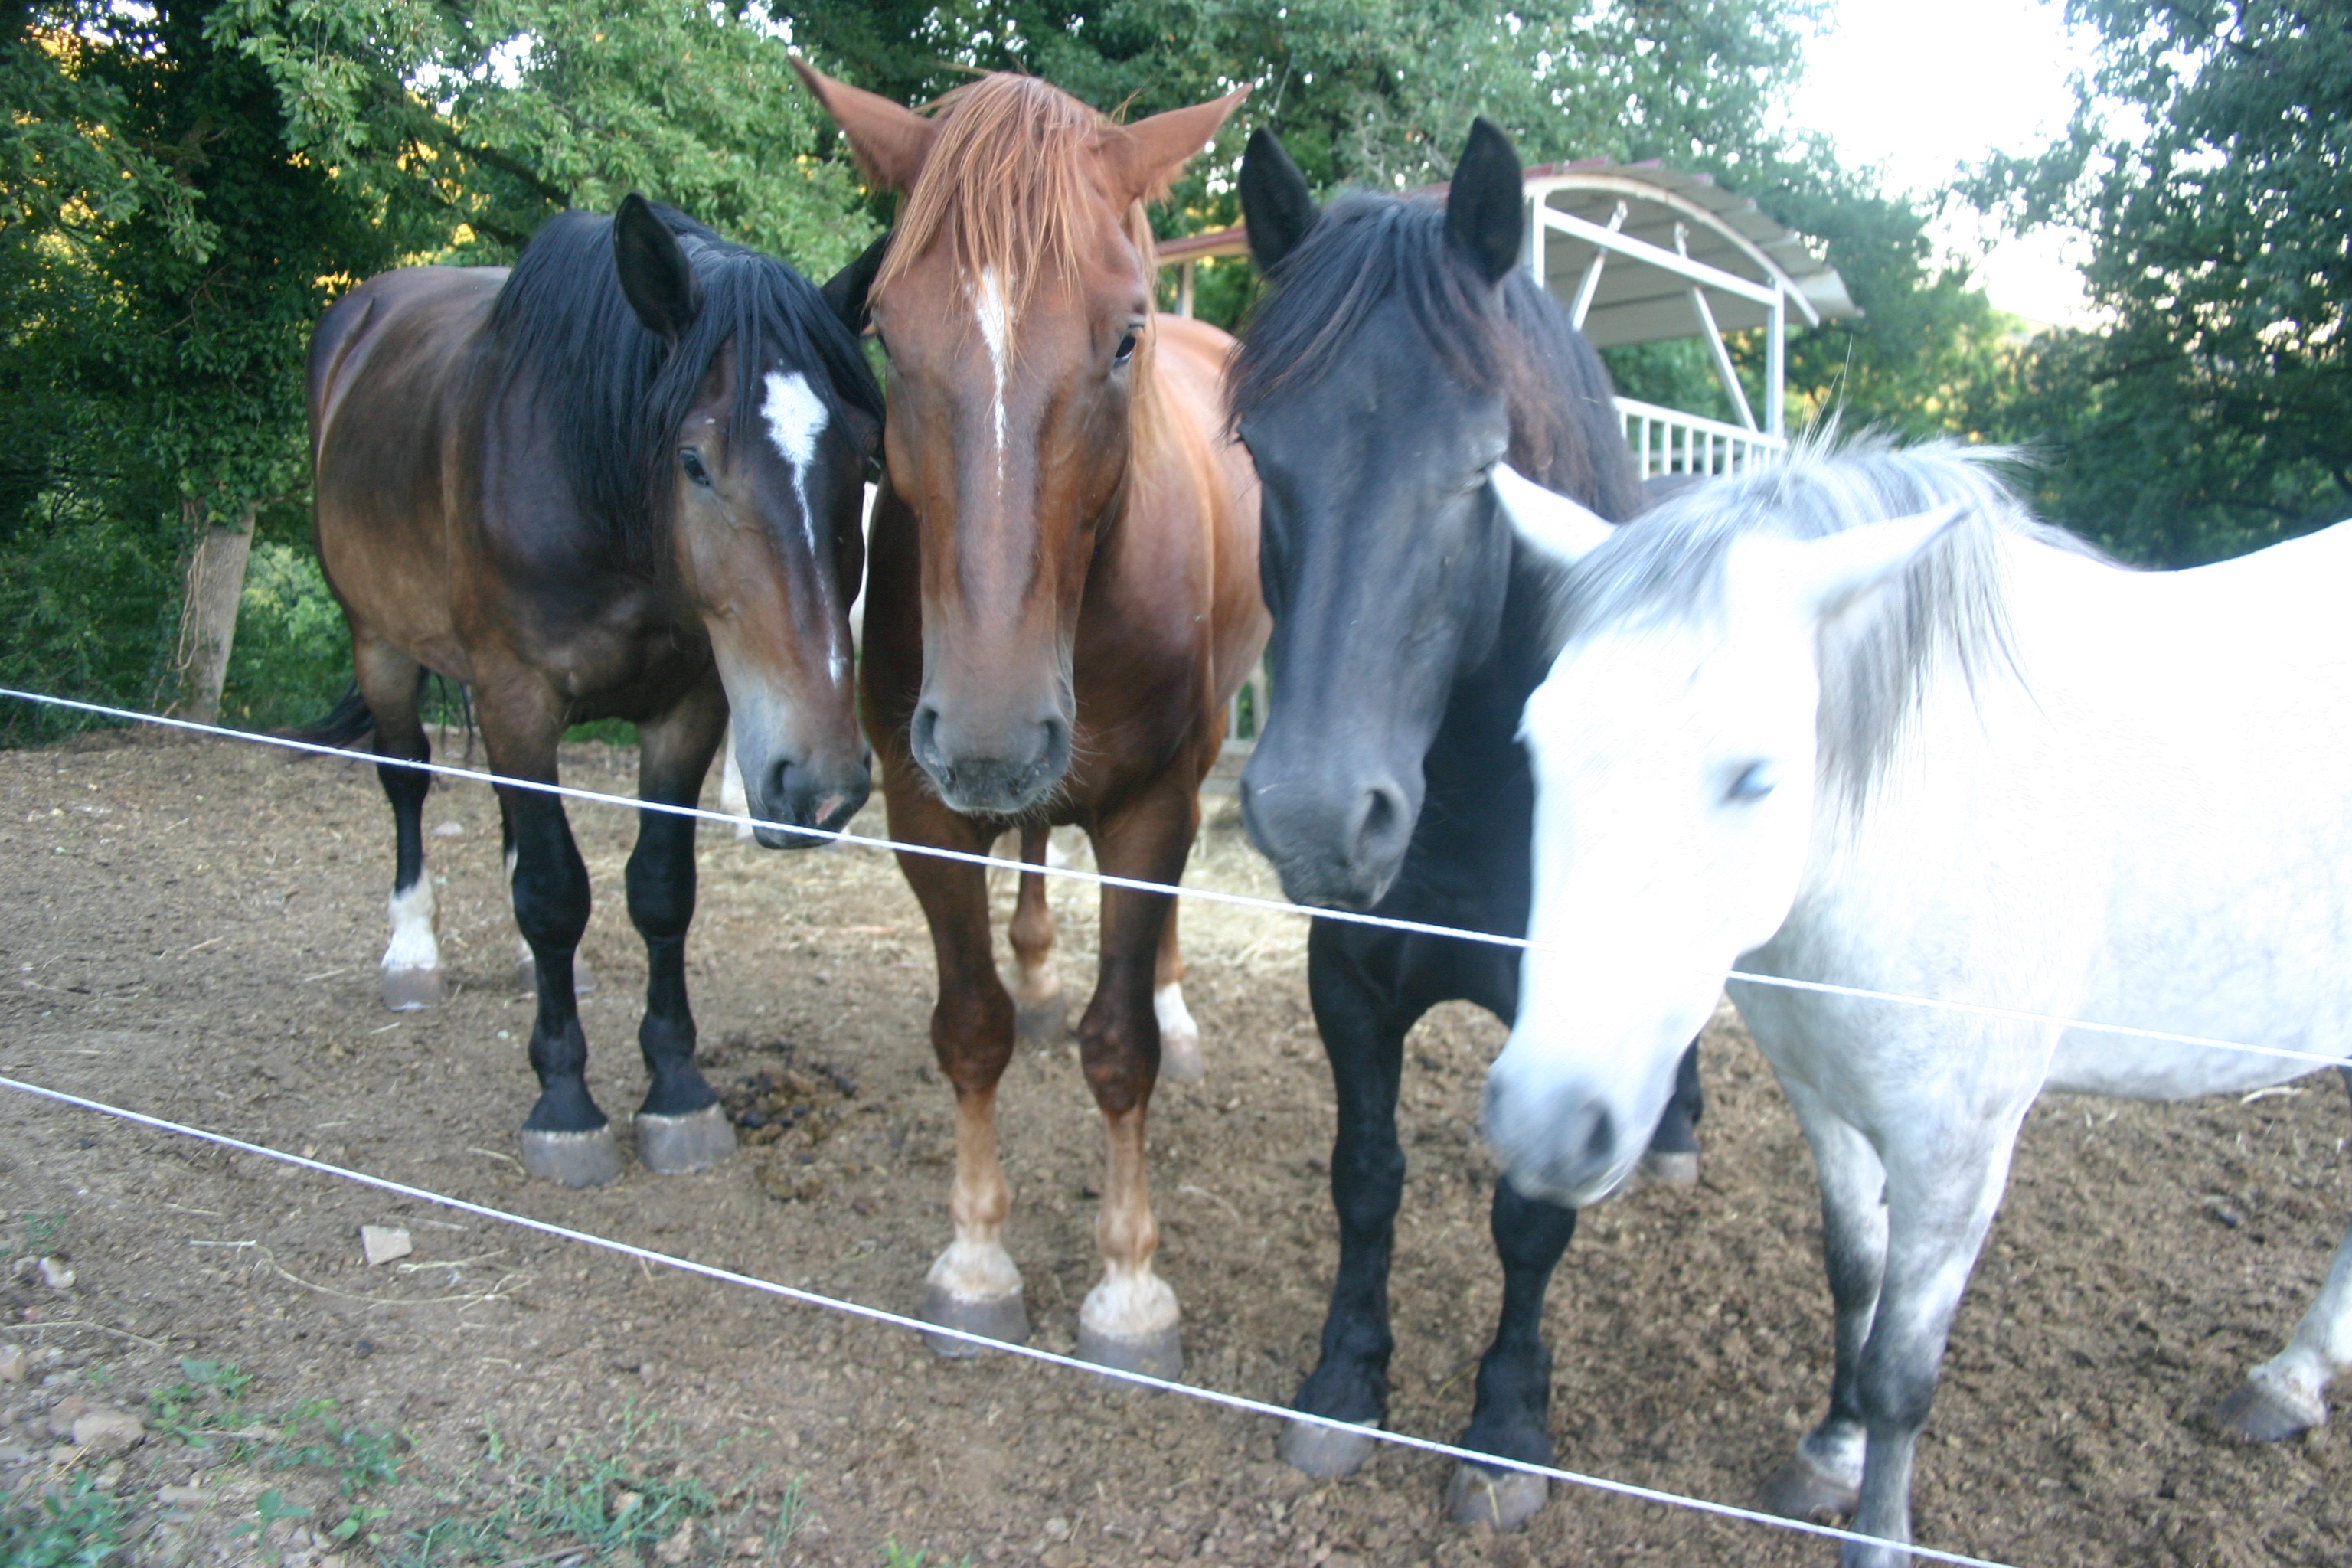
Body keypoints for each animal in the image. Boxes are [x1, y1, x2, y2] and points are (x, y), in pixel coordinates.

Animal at [301, 196, 885, 1187]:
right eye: (694, 462)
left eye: (862, 461)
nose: (820, 785)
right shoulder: (518, 695)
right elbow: (553, 891)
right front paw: (565, 1103)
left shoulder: (688, 706)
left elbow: (659, 887)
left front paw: (677, 1089)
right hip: (379, 640)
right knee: (408, 778)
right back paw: (412, 949)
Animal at [790, 64, 1266, 1377]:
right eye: (886, 333)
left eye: (1124, 335)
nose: (992, 737)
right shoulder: (925, 805)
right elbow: (969, 1028)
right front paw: (976, 1262)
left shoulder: (1150, 807)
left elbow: (1121, 1047)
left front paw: (1130, 1285)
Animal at [1225, 120, 1709, 1529]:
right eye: (1257, 452)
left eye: (1483, 467)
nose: (1315, 814)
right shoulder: (1349, 982)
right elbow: (1366, 1176)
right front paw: (1345, 1378)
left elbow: (1530, 1217)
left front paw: (1503, 1429)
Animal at [1488, 440, 2352, 1566]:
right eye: (1535, 745)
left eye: (1756, 775)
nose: (1546, 1125)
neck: (1924, 815)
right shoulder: (1825, 1101)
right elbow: (1855, 1274)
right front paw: (1832, 1450)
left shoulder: (1957, 1147)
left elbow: (1905, 1366)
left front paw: (1879, 1532)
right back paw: (2295, 1378)